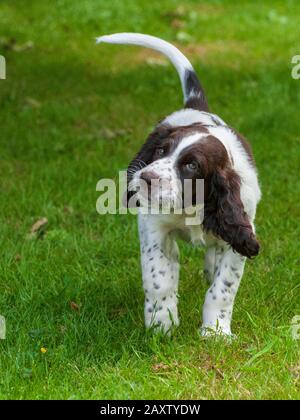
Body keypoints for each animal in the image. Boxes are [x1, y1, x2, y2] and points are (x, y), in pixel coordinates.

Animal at [97, 32, 262, 336]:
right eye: (161, 151)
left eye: (192, 166)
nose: (146, 178)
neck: (191, 205)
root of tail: (195, 107)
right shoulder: (154, 228)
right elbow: (159, 278)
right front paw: (162, 324)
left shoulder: (240, 232)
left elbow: (223, 288)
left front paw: (215, 331)